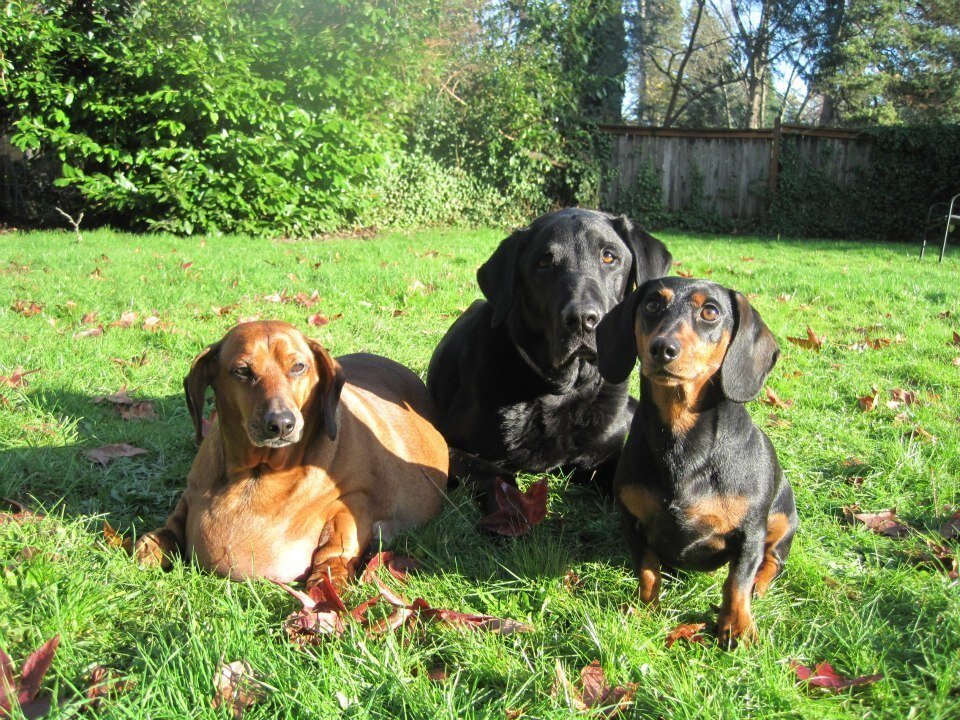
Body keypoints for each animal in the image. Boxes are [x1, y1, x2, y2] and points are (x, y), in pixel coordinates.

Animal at [134, 321, 449, 590]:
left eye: (299, 367)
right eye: (242, 371)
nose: (281, 424)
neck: (260, 472)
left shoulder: (356, 500)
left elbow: (335, 548)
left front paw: (328, 581)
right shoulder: (190, 495)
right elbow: (171, 527)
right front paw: (152, 546)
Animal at [427, 208, 672, 492]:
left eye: (609, 256)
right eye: (544, 262)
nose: (582, 319)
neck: (561, 392)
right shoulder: (448, 443)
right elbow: (501, 480)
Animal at [596, 277, 797, 644]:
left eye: (710, 312)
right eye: (651, 305)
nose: (663, 348)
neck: (682, 444)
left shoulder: (750, 532)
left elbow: (736, 582)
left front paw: (737, 626)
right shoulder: (631, 521)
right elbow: (648, 570)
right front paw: (647, 608)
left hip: (783, 519)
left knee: (773, 560)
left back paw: (760, 586)